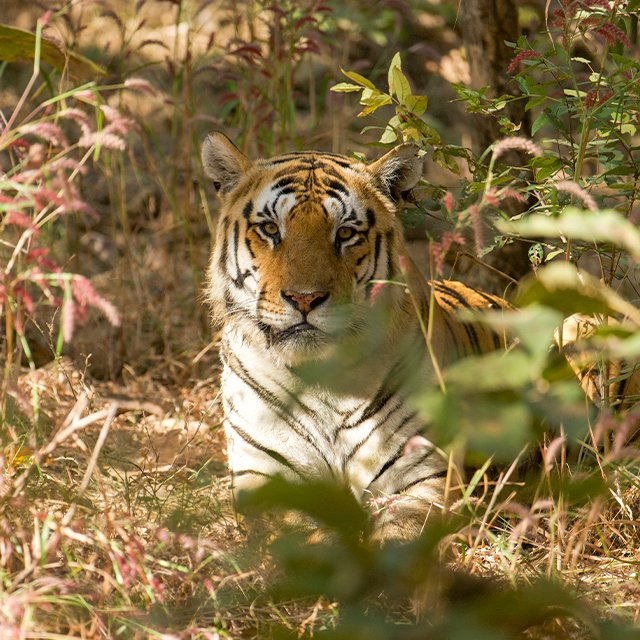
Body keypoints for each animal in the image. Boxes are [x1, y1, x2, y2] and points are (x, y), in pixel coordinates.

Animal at [201, 131, 514, 541]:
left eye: (345, 233)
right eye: (270, 229)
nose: (304, 298)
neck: (320, 379)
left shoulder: (423, 474)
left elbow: (401, 536)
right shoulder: (266, 478)